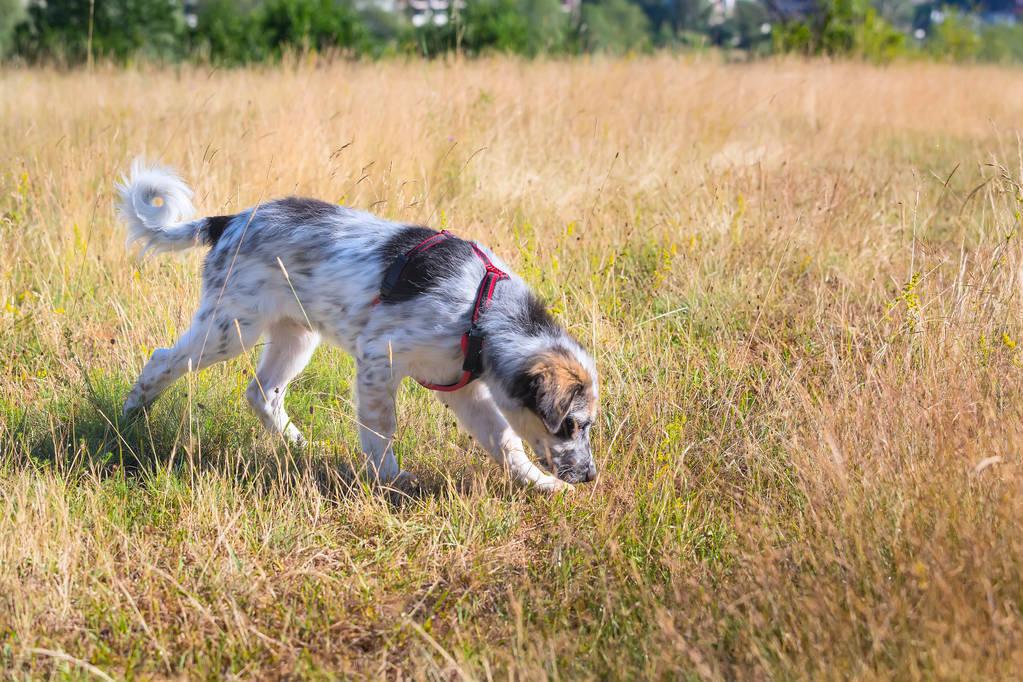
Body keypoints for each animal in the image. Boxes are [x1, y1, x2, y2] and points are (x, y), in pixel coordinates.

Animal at [117, 160, 597, 490]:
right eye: (572, 424)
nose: (591, 475)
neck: (480, 309)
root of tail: (229, 221)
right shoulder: (378, 361)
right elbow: (381, 430)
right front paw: (393, 482)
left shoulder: (462, 388)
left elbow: (505, 441)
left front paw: (540, 484)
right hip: (230, 329)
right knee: (162, 360)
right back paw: (130, 417)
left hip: (295, 336)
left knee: (262, 393)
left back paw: (298, 445)